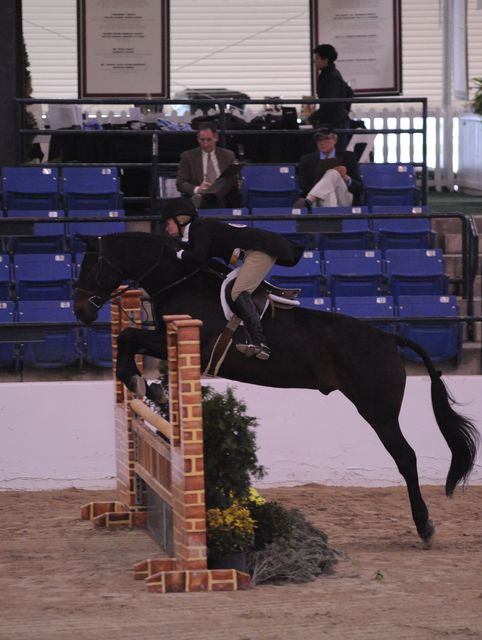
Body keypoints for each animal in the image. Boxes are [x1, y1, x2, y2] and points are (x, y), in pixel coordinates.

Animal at [73, 231, 479, 544]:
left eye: (90, 267)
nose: (80, 311)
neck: (181, 281)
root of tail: (389, 338)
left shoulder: (188, 344)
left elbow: (128, 335)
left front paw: (136, 379)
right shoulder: (166, 341)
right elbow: (130, 339)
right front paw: (150, 386)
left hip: (378, 411)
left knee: (406, 458)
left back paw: (425, 527)